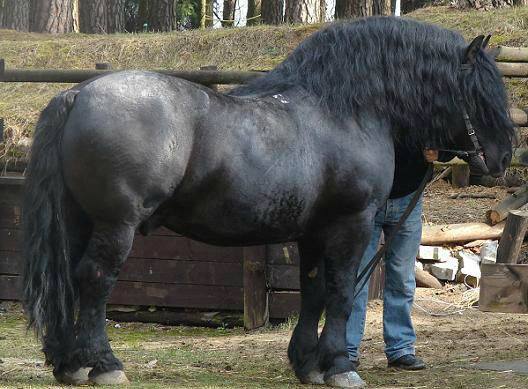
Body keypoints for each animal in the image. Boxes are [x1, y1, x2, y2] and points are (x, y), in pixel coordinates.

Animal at [22, 16, 512, 386]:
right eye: (481, 94)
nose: (504, 157)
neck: (343, 108)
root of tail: (76, 93)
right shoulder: (352, 224)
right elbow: (340, 292)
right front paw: (339, 366)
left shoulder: (315, 231)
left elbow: (313, 290)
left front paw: (307, 364)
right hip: (116, 224)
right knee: (94, 280)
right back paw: (104, 365)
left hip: (79, 221)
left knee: (69, 280)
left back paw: (69, 365)